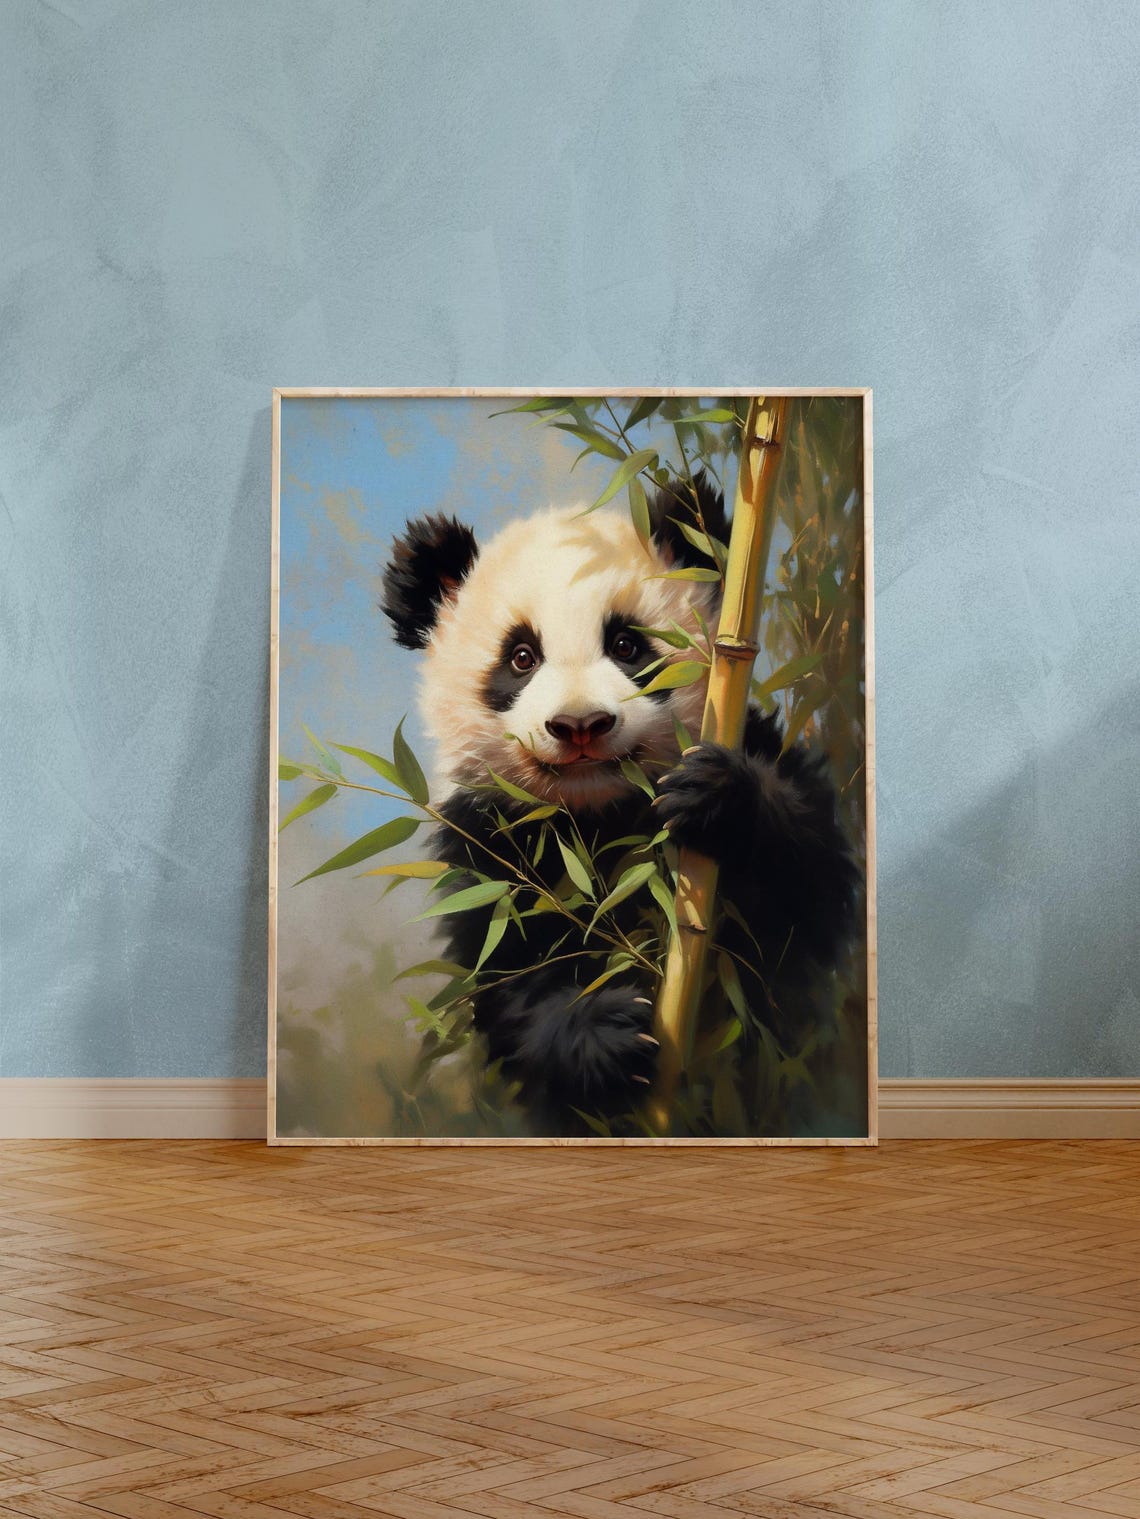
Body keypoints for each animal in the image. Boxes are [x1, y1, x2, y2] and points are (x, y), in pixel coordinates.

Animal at [381, 472, 859, 1134]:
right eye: (521, 657)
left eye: (628, 644)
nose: (580, 725)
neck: (598, 817)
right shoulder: (493, 843)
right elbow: (508, 970)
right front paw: (602, 1034)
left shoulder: (757, 747)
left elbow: (807, 899)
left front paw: (718, 798)